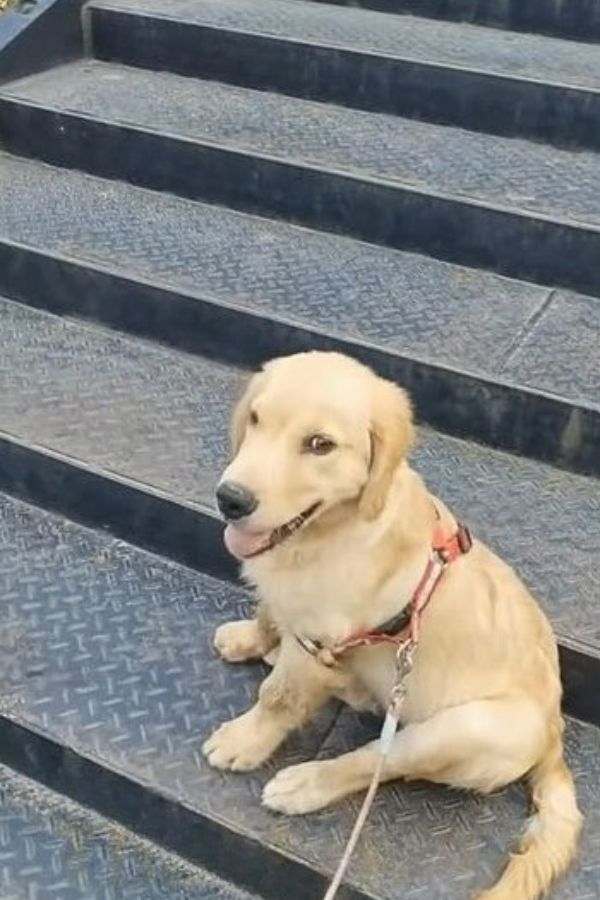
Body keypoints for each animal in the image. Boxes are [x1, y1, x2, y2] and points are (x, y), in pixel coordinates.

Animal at [203, 350, 580, 900]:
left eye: (320, 445)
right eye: (255, 419)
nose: (230, 499)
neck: (327, 532)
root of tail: (554, 736)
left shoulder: (318, 642)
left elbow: (279, 697)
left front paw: (243, 741)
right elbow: (271, 611)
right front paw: (251, 637)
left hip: (463, 730)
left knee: (378, 760)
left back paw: (306, 783)